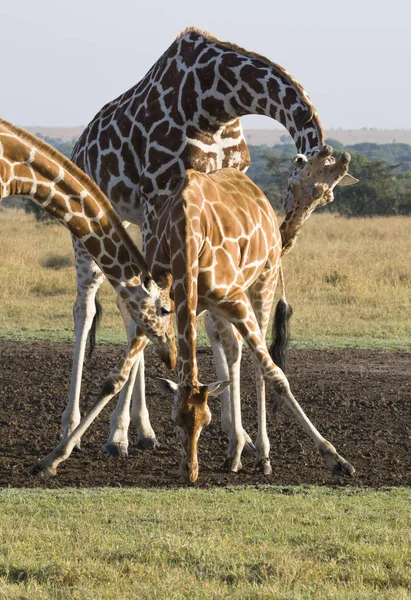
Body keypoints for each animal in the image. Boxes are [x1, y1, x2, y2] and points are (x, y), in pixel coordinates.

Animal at [33, 152, 358, 480]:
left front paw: (335, 458)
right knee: (232, 350)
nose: (190, 472)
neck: (186, 236)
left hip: (263, 282)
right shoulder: (161, 305)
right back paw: (234, 452)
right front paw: (55, 456)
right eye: (175, 420)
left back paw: (262, 455)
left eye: (206, 422)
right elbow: (115, 378)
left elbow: (276, 376)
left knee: (259, 361)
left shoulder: (232, 299)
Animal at [65, 24, 358, 454]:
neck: (217, 103)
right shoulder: (159, 199)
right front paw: (117, 435)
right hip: (93, 216)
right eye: (292, 185)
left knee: (126, 303)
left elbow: (216, 326)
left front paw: (239, 435)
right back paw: (78, 428)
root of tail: (80, 143)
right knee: (85, 308)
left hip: (131, 222)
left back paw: (144, 430)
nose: (286, 235)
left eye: (327, 197)